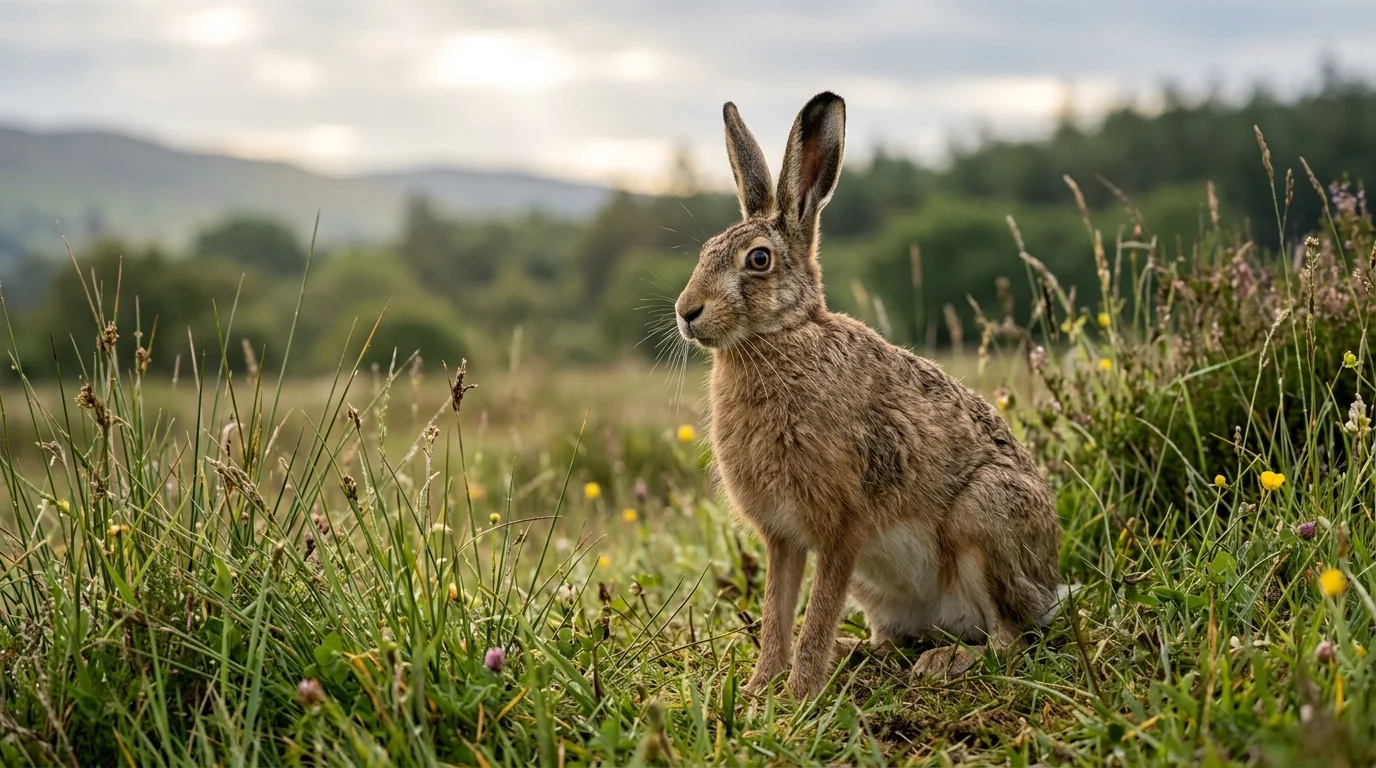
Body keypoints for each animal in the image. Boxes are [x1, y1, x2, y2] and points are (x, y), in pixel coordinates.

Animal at [673, 92, 1065, 700]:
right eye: (706, 252)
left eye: (758, 260)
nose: (686, 312)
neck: (783, 337)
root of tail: (1051, 585)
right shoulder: (783, 537)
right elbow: (777, 612)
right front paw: (762, 688)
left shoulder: (843, 526)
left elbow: (813, 613)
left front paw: (798, 694)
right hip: (880, 588)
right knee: (897, 639)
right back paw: (859, 653)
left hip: (985, 516)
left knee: (1011, 639)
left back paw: (947, 662)